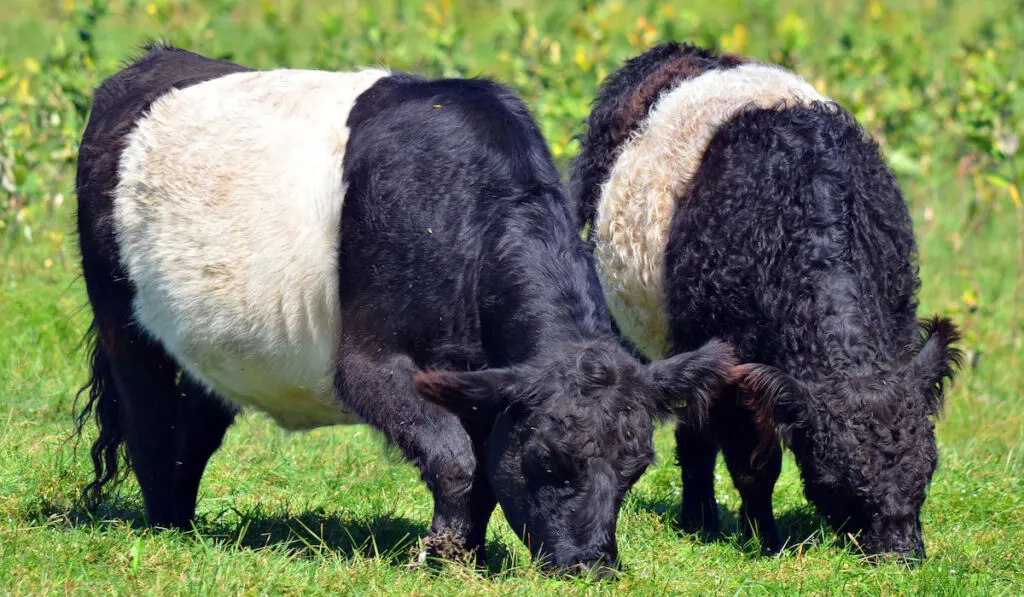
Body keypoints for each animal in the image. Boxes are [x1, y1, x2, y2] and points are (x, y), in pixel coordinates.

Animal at [569, 41, 958, 561]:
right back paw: (699, 519)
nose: (901, 556)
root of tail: (681, 50)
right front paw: (764, 539)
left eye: (927, 470)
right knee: (695, 433)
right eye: (837, 483)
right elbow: (755, 462)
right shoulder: (732, 366)